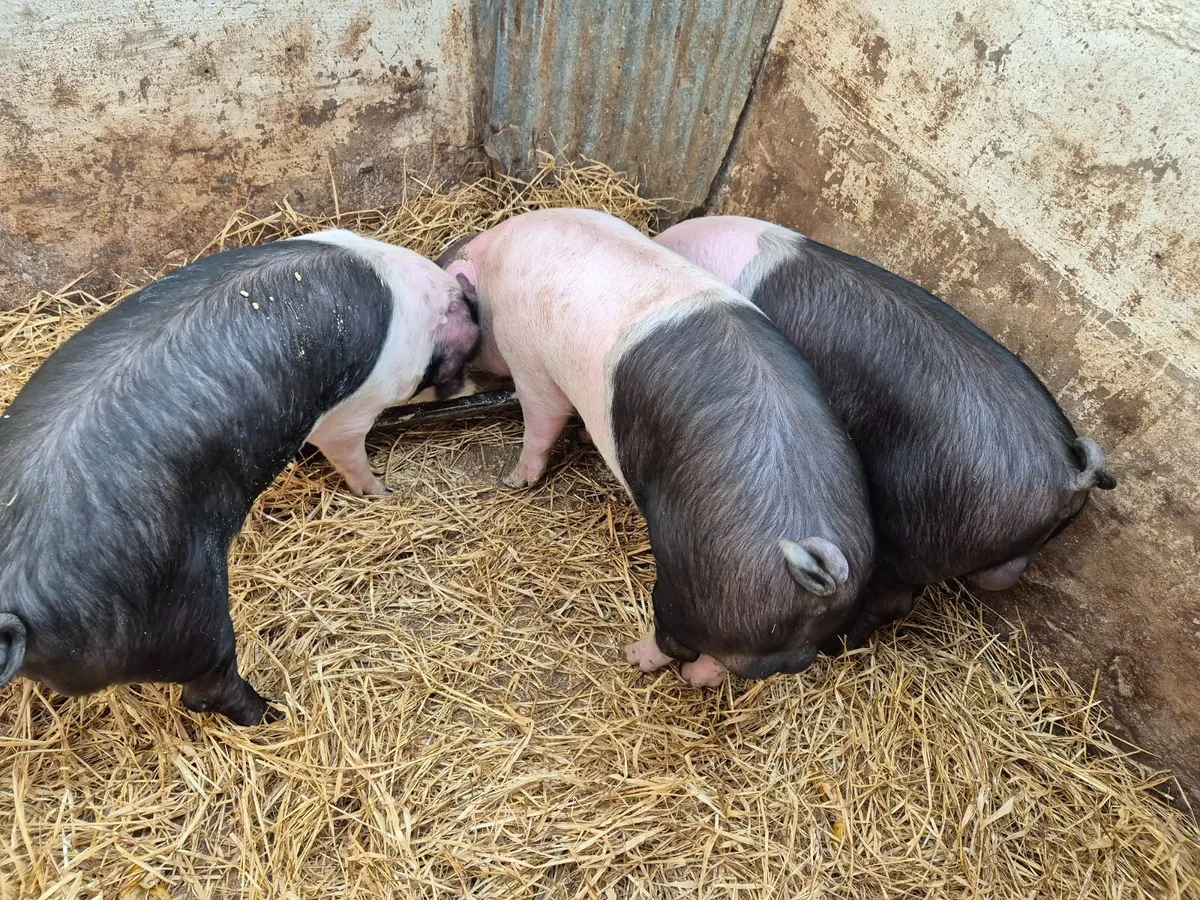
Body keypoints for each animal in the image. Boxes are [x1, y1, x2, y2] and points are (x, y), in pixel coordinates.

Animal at [0, 230, 479, 725]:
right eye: (465, 357)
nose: (475, 386)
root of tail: (16, 590)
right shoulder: (354, 410)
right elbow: (350, 453)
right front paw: (382, 492)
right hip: (184, 616)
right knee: (210, 687)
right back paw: (276, 714)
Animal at [437, 209, 874, 687]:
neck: (493, 263)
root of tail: (816, 574)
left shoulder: (528, 359)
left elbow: (541, 419)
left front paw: (513, 481)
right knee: (718, 666)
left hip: (687, 591)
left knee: (674, 640)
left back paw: (631, 654)